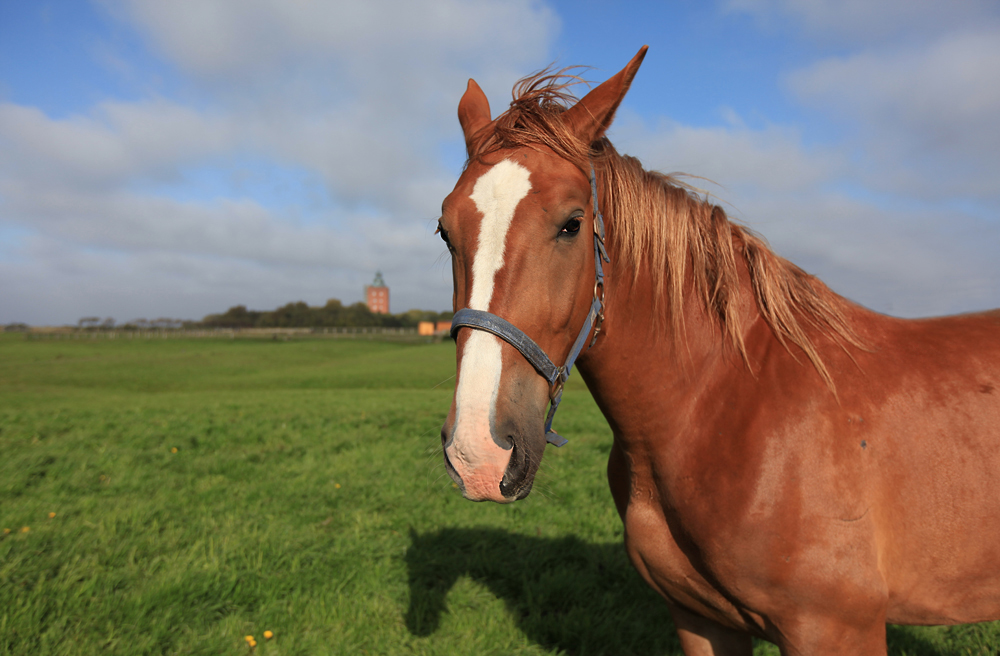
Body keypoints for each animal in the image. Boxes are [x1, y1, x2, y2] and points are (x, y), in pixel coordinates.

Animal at [436, 43, 1000, 652]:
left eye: (572, 223)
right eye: (445, 230)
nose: (478, 452)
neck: (731, 404)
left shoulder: (837, 628)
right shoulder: (700, 618)